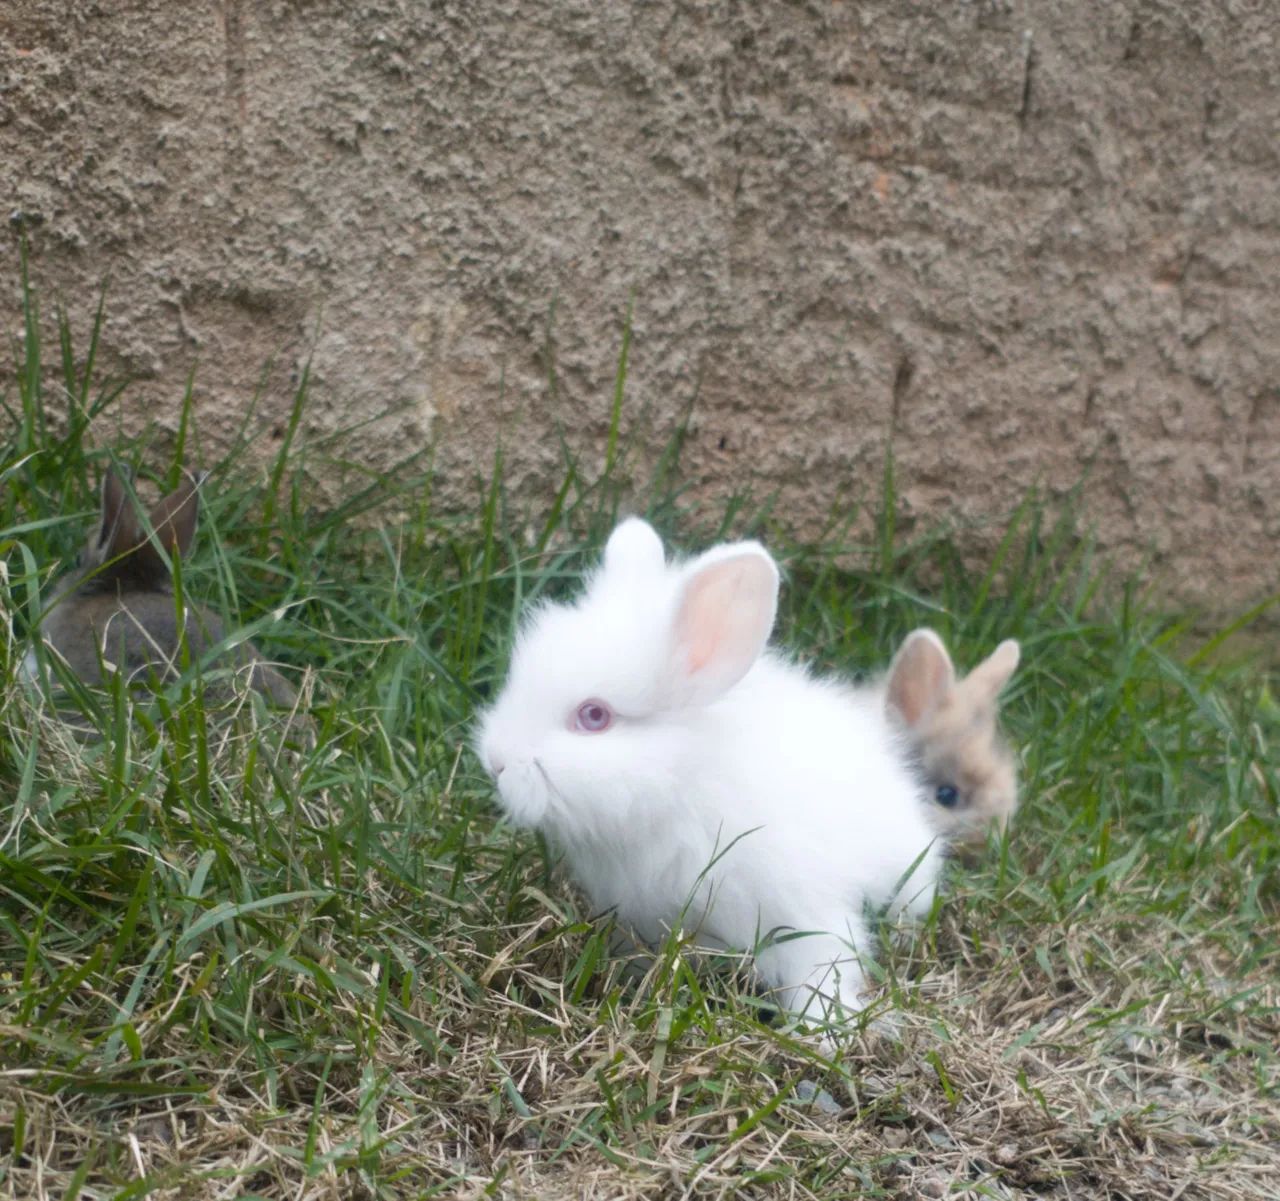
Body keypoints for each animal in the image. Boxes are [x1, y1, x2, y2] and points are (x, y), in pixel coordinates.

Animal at [476, 517, 944, 1027]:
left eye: (594, 716)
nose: (495, 761)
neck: (682, 782)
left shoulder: (803, 909)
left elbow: (822, 968)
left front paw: (822, 1028)